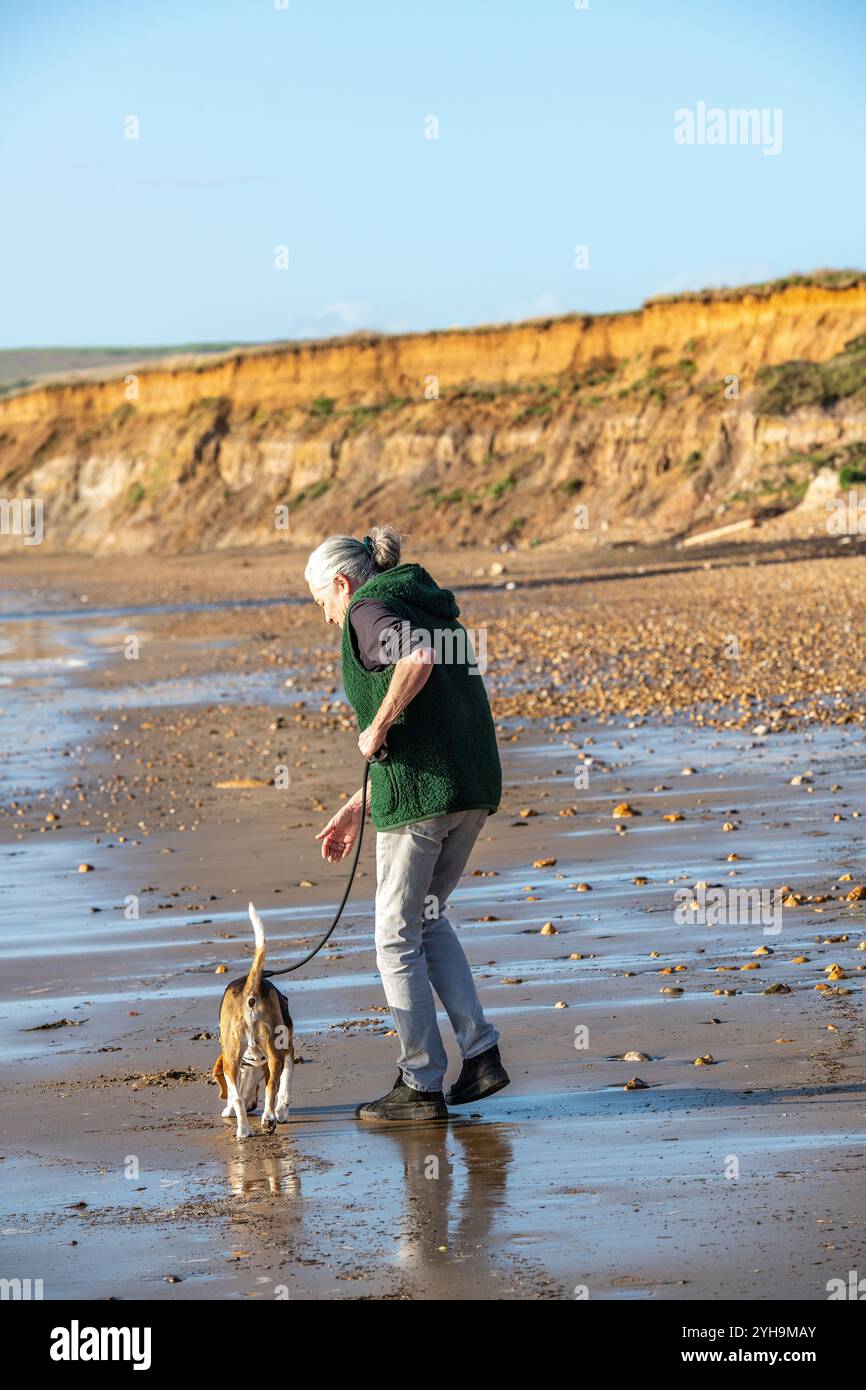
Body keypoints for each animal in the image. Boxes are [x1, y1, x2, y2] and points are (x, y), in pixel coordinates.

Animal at [215, 900, 296, 1139]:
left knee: (238, 1096)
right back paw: (268, 1119)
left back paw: (243, 1130)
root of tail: (250, 988)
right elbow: (284, 1085)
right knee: (271, 1087)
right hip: (274, 1051)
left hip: (230, 1057)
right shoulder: (288, 1049)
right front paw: (281, 1112)